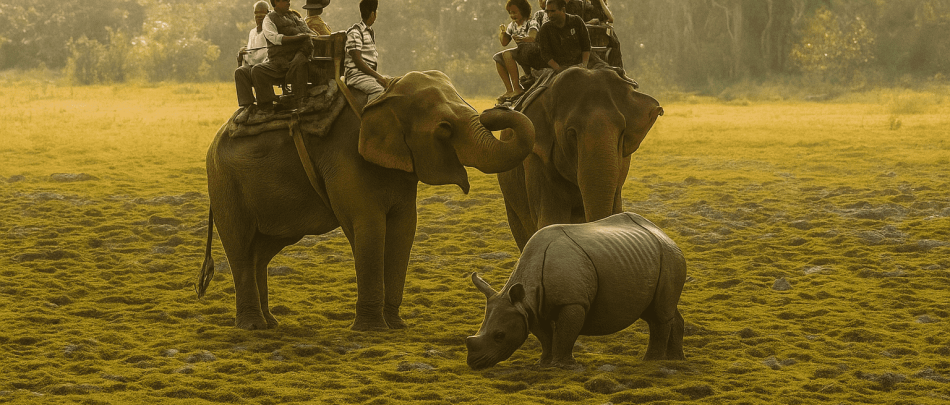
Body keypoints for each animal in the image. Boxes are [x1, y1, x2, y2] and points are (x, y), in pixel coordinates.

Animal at [196, 71, 535, 331]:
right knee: (241, 247)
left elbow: (404, 228)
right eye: (444, 129)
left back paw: (270, 323)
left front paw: (396, 326)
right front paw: (372, 329)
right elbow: (369, 227)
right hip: (225, 184)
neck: (384, 94)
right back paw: (253, 326)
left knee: (262, 251)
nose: (494, 111)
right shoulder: (345, 159)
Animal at [466, 212, 687, 369]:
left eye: (500, 336)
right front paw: (543, 363)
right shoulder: (530, 309)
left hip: (669, 255)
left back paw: (651, 362)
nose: (474, 364)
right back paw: (675, 360)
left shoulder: (573, 302)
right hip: (648, 258)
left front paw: (563, 365)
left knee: (658, 315)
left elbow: (566, 333)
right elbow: (545, 336)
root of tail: (663, 233)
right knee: (658, 311)